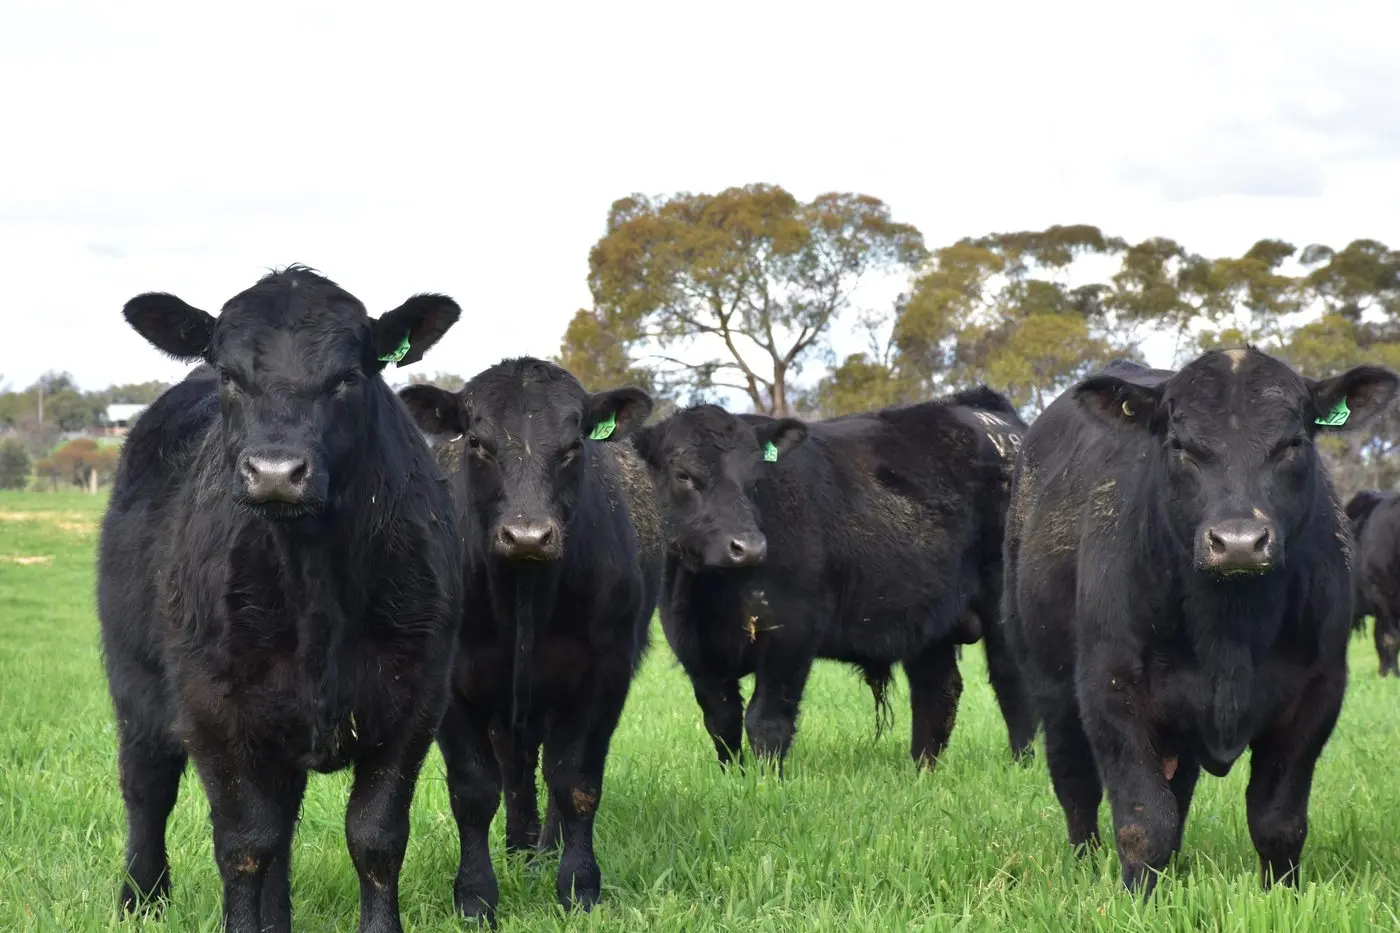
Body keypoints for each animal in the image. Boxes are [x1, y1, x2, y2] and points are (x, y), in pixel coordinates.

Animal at [97, 266, 463, 933]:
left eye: (349, 376)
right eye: (229, 375)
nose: (274, 472)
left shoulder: (416, 698)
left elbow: (375, 837)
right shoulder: (212, 705)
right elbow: (244, 843)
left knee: (282, 823)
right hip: (134, 678)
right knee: (147, 788)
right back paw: (141, 897)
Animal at [398, 358, 663, 925]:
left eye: (573, 445)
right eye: (477, 442)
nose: (527, 536)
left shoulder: (604, 675)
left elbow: (577, 783)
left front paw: (579, 887)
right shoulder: (452, 683)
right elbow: (475, 790)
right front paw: (476, 897)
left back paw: (543, 849)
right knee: (515, 770)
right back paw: (520, 850)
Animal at [628, 386, 1032, 775]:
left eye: (755, 478)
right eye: (684, 475)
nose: (749, 546)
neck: (708, 593)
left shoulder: (791, 635)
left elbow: (766, 721)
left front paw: (764, 784)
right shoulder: (696, 652)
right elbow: (722, 723)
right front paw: (734, 780)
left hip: (1002, 605)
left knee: (1010, 681)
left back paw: (1021, 766)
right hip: (929, 621)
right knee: (937, 691)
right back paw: (921, 772)